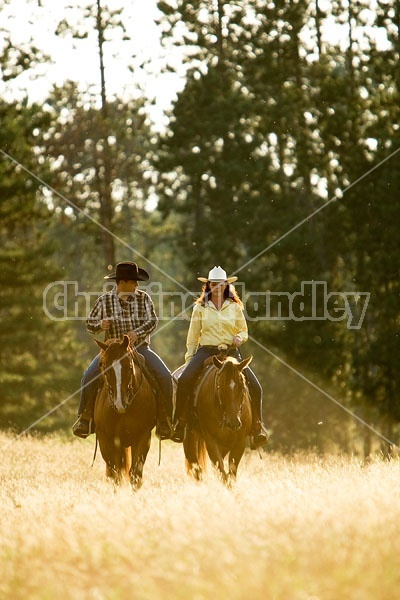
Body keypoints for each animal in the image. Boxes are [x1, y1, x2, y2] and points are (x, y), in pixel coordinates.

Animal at [93, 336, 156, 490]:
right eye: (104, 366)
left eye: (129, 366)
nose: (119, 403)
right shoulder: (106, 439)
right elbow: (115, 475)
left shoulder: (143, 437)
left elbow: (135, 474)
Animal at [183, 354, 252, 486]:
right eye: (220, 387)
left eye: (242, 387)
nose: (233, 423)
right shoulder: (211, 442)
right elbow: (222, 472)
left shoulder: (240, 443)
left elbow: (231, 473)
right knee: (195, 466)